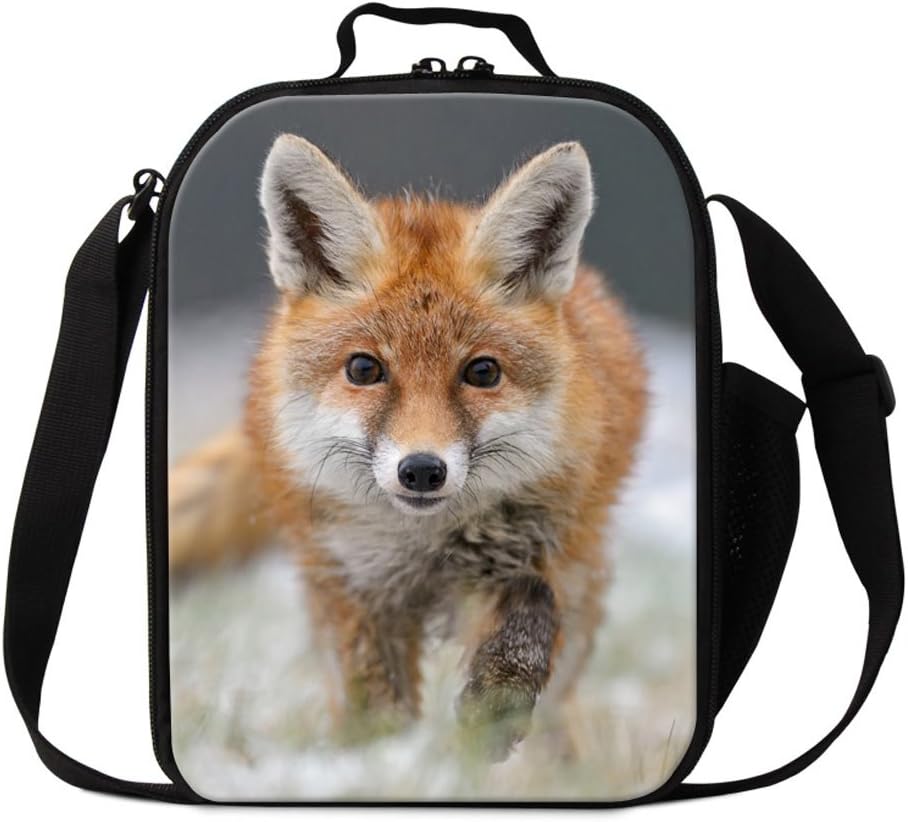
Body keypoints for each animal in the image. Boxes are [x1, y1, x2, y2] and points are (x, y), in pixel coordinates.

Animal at [169, 134, 647, 760]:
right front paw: (380, 760)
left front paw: (493, 710)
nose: (421, 470)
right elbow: (375, 703)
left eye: (482, 372)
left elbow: (533, 609)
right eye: (364, 369)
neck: (426, 547)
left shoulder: (542, 549)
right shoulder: (354, 585)